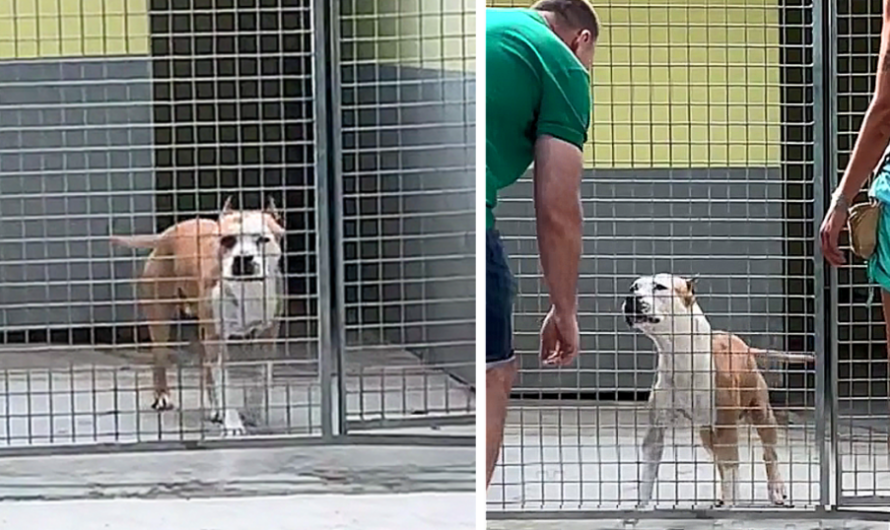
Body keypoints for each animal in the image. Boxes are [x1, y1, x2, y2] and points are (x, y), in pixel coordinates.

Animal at [111, 196, 284, 436]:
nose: (243, 259)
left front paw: (253, 413)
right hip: (160, 317)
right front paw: (233, 424)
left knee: (206, 368)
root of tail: (167, 233)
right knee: (160, 357)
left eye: (263, 239)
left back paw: (216, 409)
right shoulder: (216, 338)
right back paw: (163, 396)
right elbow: (225, 384)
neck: (245, 289)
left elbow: (261, 378)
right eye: (227, 240)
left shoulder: (267, 334)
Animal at [624, 274, 812, 506]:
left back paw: (776, 489)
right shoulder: (655, 431)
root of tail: (743, 346)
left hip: (762, 414)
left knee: (769, 454)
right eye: (634, 287)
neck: (681, 355)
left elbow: (732, 466)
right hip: (707, 433)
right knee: (721, 462)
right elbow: (647, 478)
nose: (630, 298)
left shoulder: (726, 426)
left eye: (659, 287)